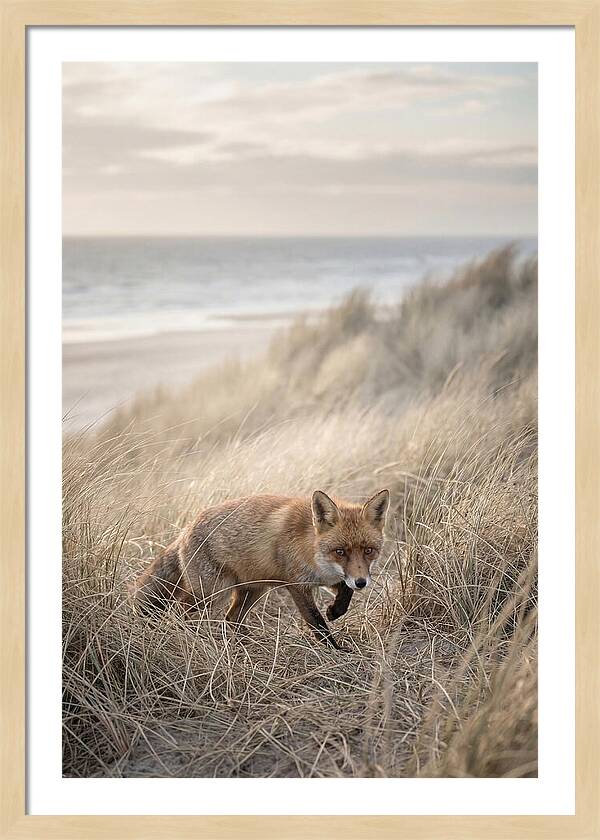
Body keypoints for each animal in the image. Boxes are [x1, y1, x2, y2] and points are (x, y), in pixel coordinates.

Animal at [130, 488, 390, 650]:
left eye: (368, 550)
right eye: (340, 551)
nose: (362, 582)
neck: (312, 548)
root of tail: (185, 529)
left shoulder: (331, 578)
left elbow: (345, 593)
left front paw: (335, 611)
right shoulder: (297, 585)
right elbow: (316, 623)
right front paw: (336, 651)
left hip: (253, 590)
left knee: (231, 618)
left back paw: (245, 644)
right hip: (212, 593)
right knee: (180, 611)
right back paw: (191, 638)